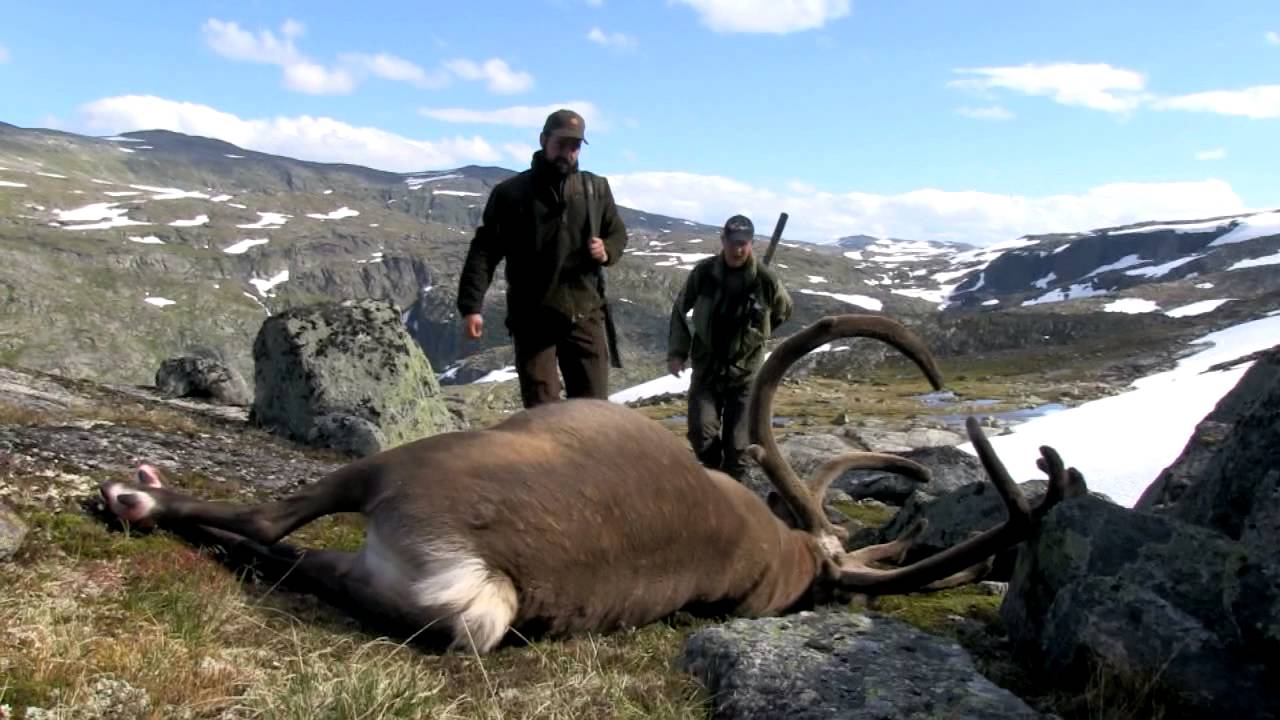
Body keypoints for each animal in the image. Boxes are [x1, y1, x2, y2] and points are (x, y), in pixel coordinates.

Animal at [99, 314, 1087, 654]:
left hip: (395, 471)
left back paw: (134, 497)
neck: (774, 549)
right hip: (434, 601)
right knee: (304, 562)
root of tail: (485, 574)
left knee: (271, 522)